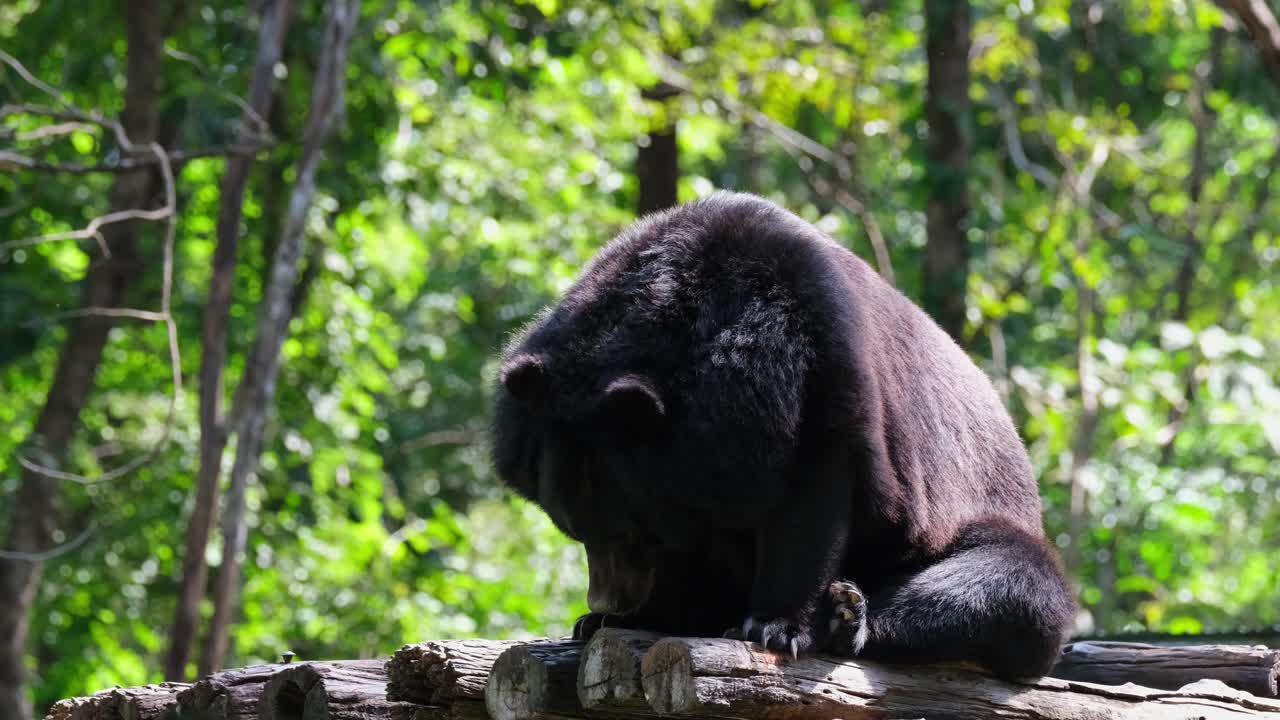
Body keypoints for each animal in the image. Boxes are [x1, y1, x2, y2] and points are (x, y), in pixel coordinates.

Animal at [491, 192, 1076, 679]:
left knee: (1009, 588)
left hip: (977, 519)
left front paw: (774, 626)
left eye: (629, 532)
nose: (607, 601)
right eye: (573, 530)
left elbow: (814, 497)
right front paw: (621, 620)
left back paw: (847, 616)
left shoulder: (824, 366)